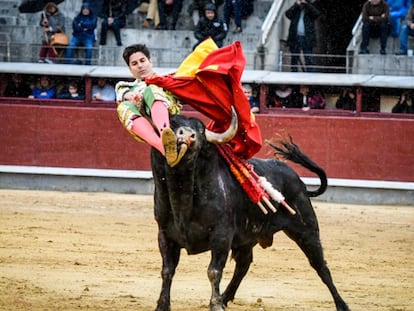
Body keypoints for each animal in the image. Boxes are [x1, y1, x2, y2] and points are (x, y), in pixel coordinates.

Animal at [150, 112, 350, 311]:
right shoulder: (165, 235)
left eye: (200, 130)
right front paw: (162, 305)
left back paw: (342, 305)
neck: (182, 194)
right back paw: (226, 297)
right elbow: (167, 270)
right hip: (246, 239)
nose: (187, 137)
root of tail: (298, 180)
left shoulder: (221, 236)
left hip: (306, 230)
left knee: (321, 266)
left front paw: (215, 305)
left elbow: (213, 271)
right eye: (172, 124)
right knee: (243, 265)